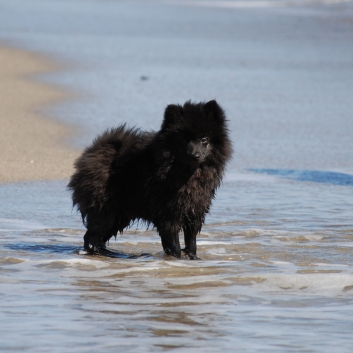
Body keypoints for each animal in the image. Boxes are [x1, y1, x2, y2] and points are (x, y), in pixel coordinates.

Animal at [67, 99, 231, 258]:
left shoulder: (195, 213)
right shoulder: (169, 216)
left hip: (119, 216)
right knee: (91, 237)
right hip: (105, 212)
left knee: (98, 237)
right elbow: (174, 245)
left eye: (204, 139)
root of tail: (95, 151)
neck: (188, 175)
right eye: (184, 140)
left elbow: (191, 244)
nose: (194, 155)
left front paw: (193, 258)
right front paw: (177, 258)